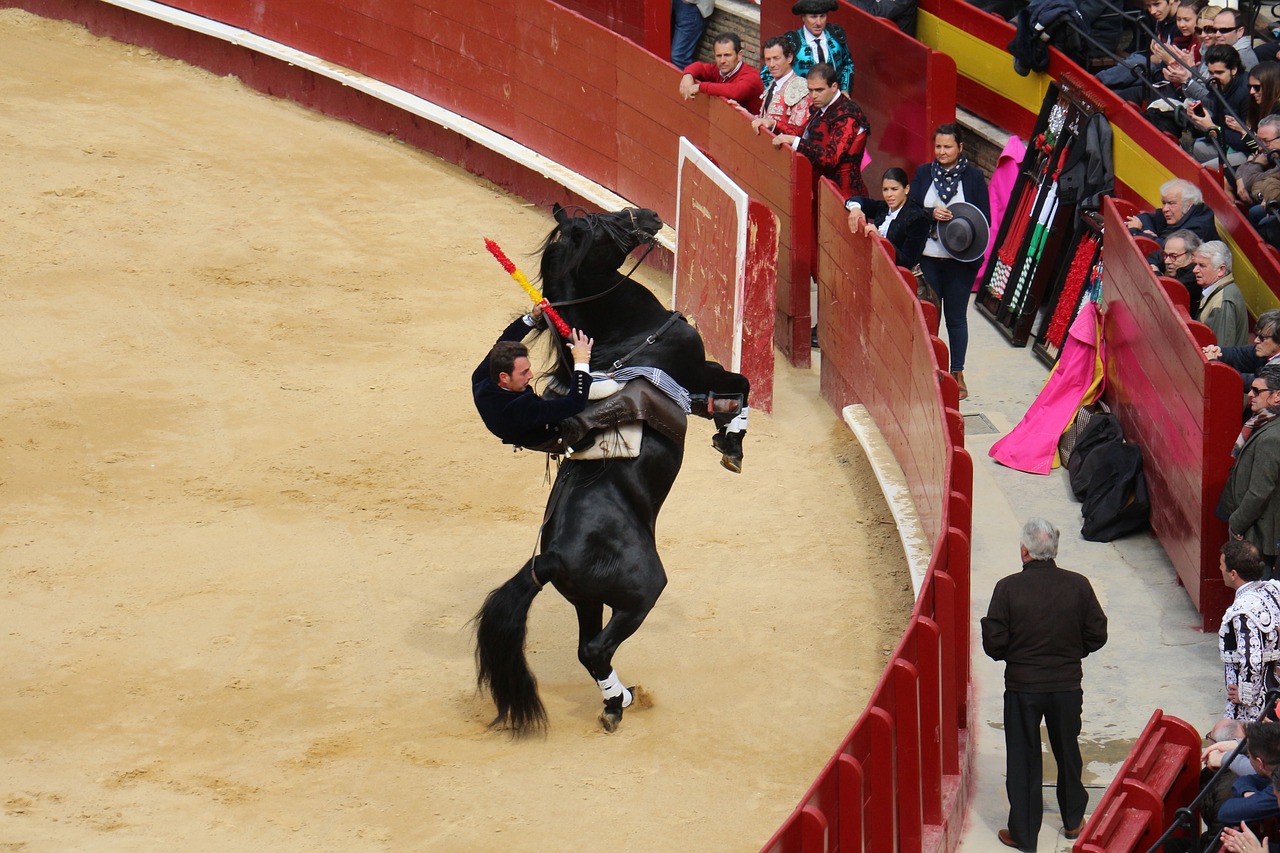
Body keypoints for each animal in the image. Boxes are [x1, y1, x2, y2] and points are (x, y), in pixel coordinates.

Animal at [476, 204, 747, 732]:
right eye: (599, 228)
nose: (646, 214)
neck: (627, 336)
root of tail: (550, 556)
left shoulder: (695, 384)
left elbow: (726, 393)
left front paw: (726, 433)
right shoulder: (696, 371)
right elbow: (739, 384)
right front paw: (733, 441)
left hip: (587, 598)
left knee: (588, 648)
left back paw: (617, 698)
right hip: (641, 591)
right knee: (598, 648)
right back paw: (619, 703)